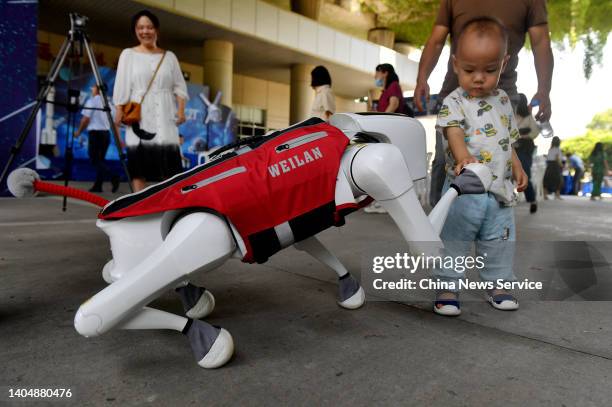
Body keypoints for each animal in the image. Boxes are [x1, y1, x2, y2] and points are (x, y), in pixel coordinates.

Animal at [7, 112, 492, 370]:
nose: (424, 166)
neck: (352, 134)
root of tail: (112, 219)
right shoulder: (377, 166)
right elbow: (426, 247)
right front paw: (472, 177)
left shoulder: (293, 220)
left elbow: (308, 244)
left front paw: (349, 288)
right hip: (198, 235)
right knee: (94, 314)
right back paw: (206, 338)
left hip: (150, 253)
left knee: (119, 284)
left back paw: (195, 301)